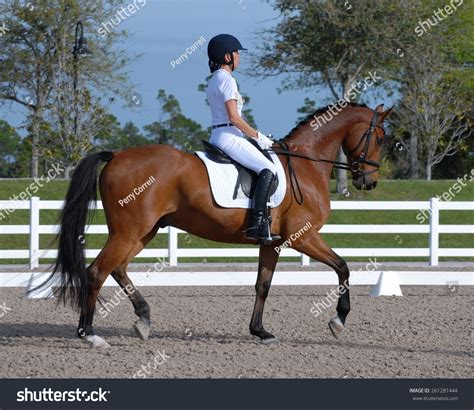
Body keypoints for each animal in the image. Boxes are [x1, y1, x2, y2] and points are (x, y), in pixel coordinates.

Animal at [46, 101, 390, 346]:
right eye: (380, 138)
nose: (370, 181)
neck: (306, 164)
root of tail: (116, 155)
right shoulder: (302, 237)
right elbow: (343, 267)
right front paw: (338, 321)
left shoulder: (274, 243)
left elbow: (263, 285)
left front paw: (260, 331)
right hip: (128, 232)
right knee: (97, 272)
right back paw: (90, 334)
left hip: (143, 232)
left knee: (116, 269)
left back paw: (142, 320)